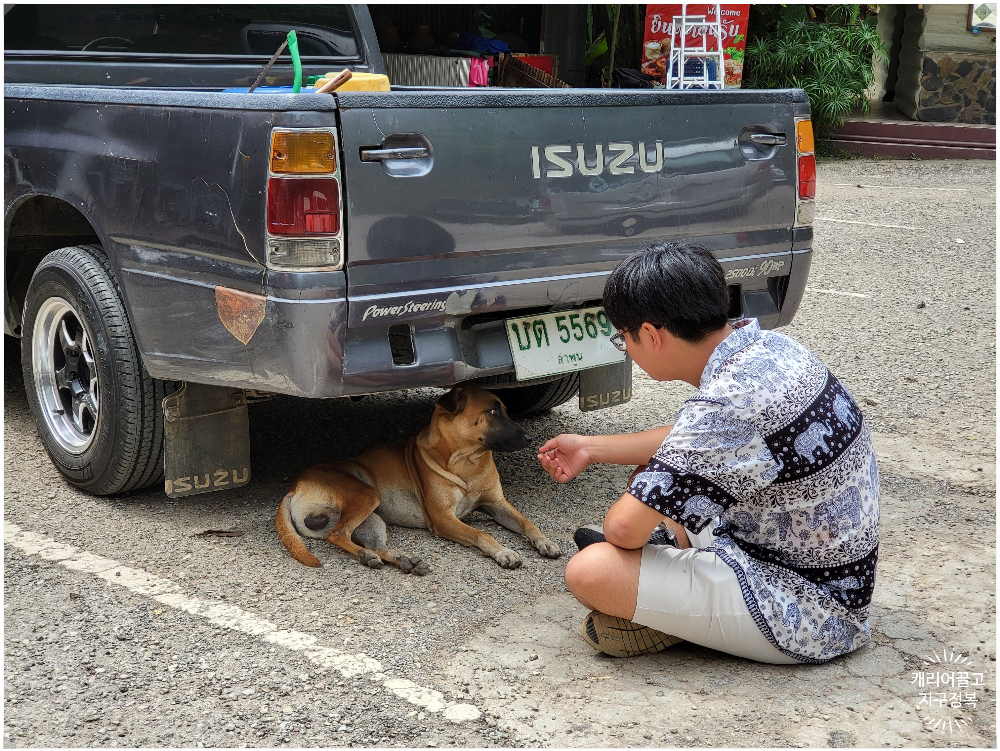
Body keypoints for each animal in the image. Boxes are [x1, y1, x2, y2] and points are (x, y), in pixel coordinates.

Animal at [276, 384, 564, 572]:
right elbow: (482, 534)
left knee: (372, 545)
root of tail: (295, 486)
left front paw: (545, 541)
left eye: (504, 409)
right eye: (493, 412)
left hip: (372, 520)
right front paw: (504, 552)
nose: (529, 439)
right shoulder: (444, 519)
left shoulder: (497, 504)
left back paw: (398, 559)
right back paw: (366, 555)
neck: (468, 461)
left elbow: (528, 523)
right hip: (366, 495)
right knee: (337, 534)